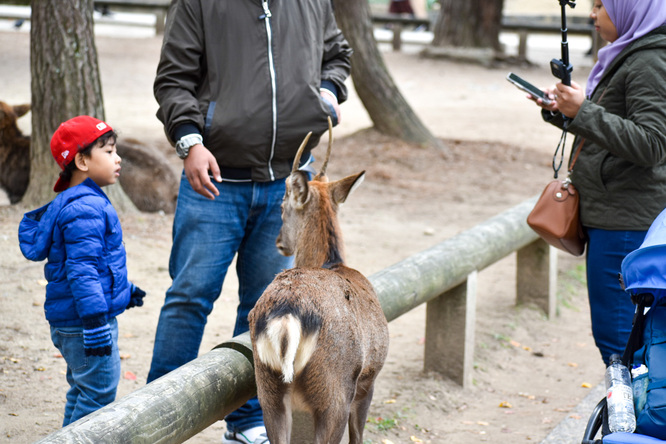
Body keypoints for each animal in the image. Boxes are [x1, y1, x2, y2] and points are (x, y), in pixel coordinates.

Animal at [246, 121, 386, 444]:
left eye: (281, 206)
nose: (279, 242)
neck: (333, 262)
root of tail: (287, 315)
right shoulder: (368, 378)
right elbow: (358, 437)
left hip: (268, 388)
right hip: (334, 390)